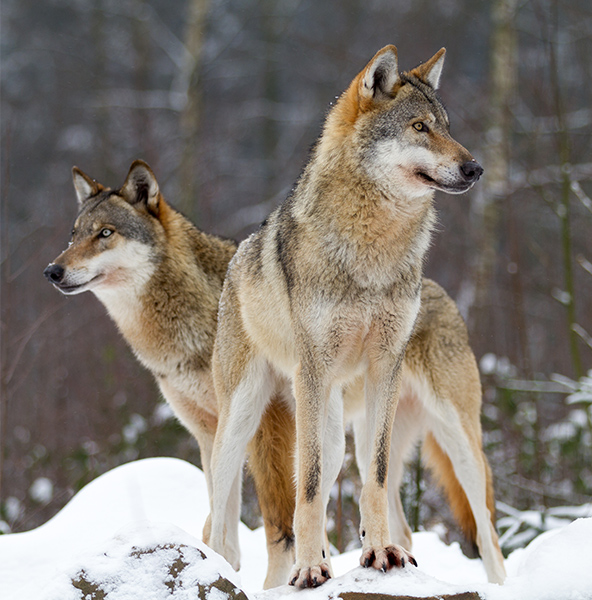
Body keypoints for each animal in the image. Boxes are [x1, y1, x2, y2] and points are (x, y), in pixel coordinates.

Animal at [207, 44, 504, 588]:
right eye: (419, 127)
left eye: (447, 127)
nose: (475, 168)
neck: (374, 250)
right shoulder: (313, 373)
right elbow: (307, 491)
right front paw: (309, 567)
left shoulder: (384, 367)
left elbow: (377, 481)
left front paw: (380, 552)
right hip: (253, 424)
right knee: (223, 522)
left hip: (448, 439)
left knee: (485, 534)